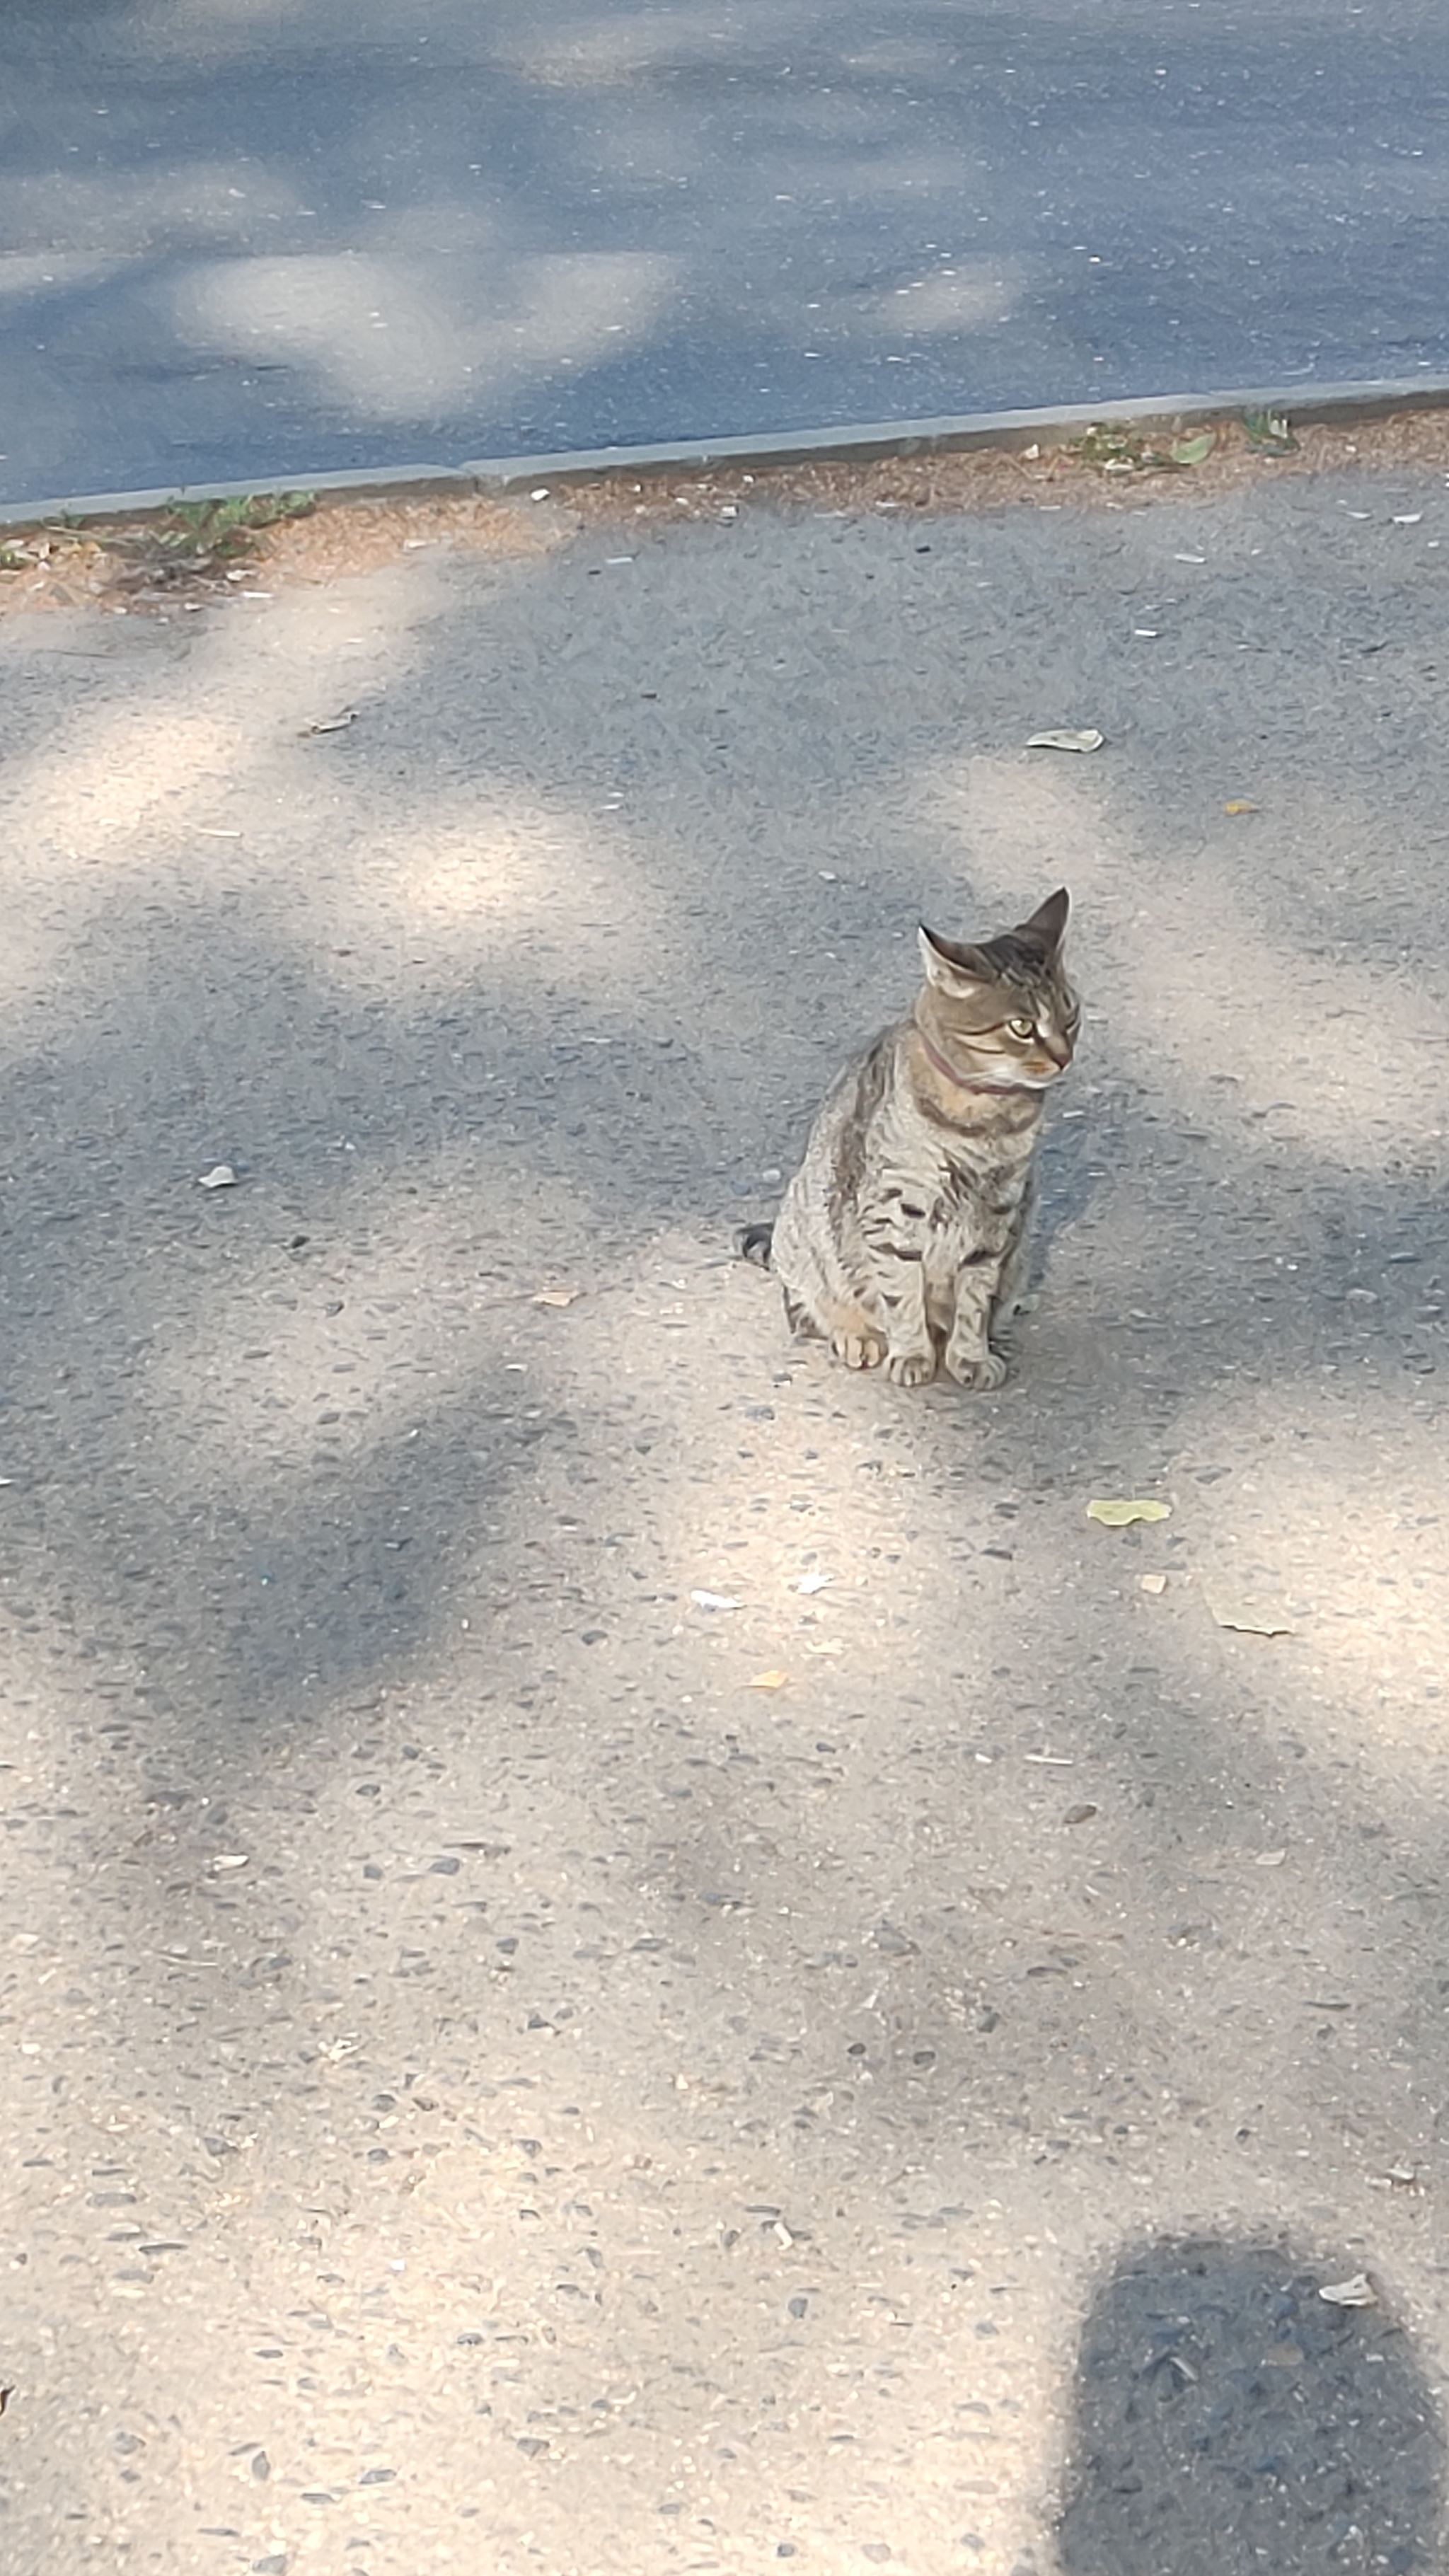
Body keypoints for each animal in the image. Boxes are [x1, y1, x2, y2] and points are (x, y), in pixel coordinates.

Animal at [742, 896, 1072, 1401]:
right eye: (1022, 1026)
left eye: (1072, 1016)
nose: (1064, 1056)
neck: (986, 1118)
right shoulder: (894, 1211)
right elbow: (902, 1295)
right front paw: (914, 1354)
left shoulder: (998, 1214)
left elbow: (975, 1299)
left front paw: (970, 1356)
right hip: (804, 1233)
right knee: (803, 1304)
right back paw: (854, 1334)